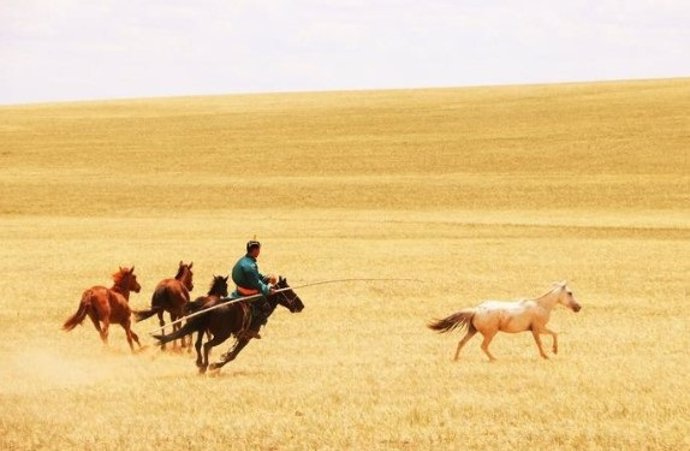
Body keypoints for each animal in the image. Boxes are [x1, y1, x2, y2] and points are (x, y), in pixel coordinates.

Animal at [153, 278, 304, 376]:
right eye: (289, 291)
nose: (301, 305)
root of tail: (208, 306)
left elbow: (231, 353)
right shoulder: (246, 336)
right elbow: (233, 355)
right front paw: (215, 365)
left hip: (202, 327)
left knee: (198, 344)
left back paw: (200, 363)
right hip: (221, 335)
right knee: (206, 345)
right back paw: (205, 366)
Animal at [428, 282, 576, 364]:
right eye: (570, 293)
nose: (578, 307)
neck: (541, 305)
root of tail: (476, 310)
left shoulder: (536, 329)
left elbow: (546, 338)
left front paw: (549, 353)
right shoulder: (538, 328)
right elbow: (550, 336)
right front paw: (551, 352)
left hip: (472, 330)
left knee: (461, 342)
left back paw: (456, 359)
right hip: (490, 333)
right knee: (483, 346)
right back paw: (494, 359)